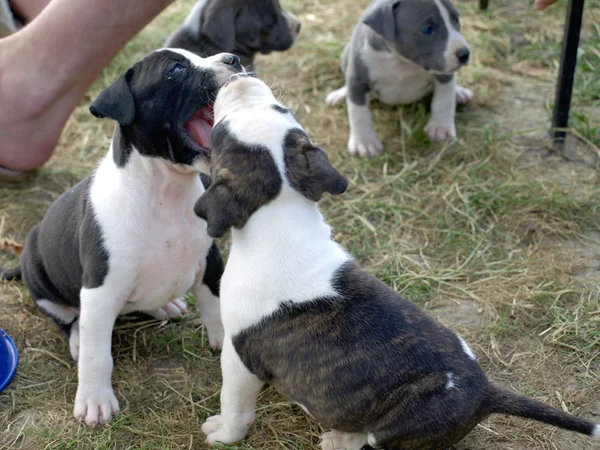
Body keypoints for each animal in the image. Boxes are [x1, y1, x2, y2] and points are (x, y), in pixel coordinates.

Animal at [0, 49, 244, 428]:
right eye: (176, 70)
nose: (233, 58)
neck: (166, 191)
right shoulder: (99, 290)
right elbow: (98, 356)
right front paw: (95, 400)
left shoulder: (209, 261)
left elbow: (214, 306)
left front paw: (222, 342)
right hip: (41, 280)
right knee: (68, 320)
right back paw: (78, 339)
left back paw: (165, 304)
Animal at [195, 75, 600, 448]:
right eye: (283, 110)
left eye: (221, 132)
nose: (239, 77)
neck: (279, 211)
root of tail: (484, 391)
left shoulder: (238, 358)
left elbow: (234, 405)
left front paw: (223, 434)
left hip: (394, 428)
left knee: (369, 438)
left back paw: (339, 439)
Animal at [328, 0, 474, 158]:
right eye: (427, 29)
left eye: (456, 20)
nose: (465, 54)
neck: (401, 62)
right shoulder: (357, 81)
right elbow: (358, 113)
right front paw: (365, 143)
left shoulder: (443, 74)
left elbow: (444, 101)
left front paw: (440, 128)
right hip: (345, 55)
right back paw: (340, 94)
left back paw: (459, 92)